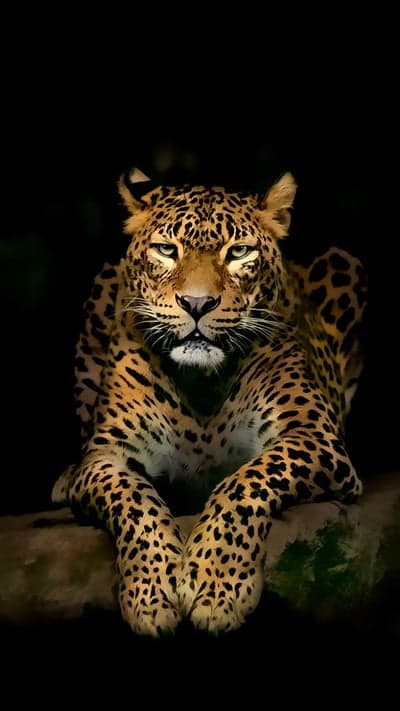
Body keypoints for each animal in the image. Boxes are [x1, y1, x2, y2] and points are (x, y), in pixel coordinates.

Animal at [52, 167, 367, 637]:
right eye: (167, 250)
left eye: (238, 252)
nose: (197, 304)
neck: (200, 383)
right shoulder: (107, 456)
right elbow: (134, 501)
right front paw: (151, 593)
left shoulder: (313, 435)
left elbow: (244, 483)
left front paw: (216, 588)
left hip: (345, 264)